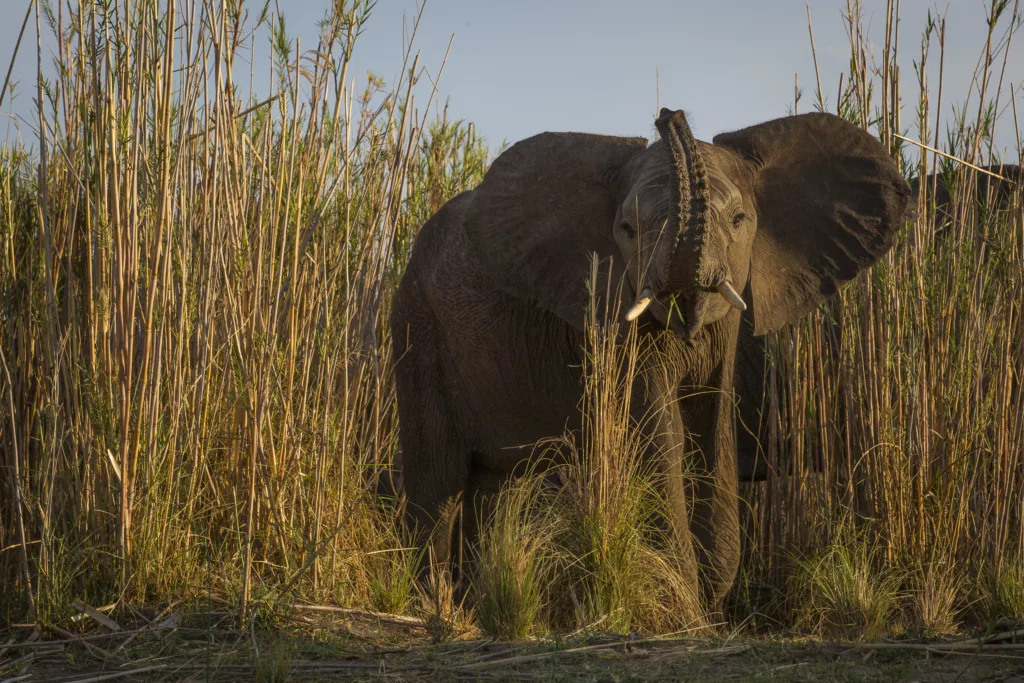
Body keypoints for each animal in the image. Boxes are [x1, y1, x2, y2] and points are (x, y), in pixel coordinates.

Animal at [391, 109, 913, 610]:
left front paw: (710, 593)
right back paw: (434, 606)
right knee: (439, 484)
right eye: (627, 230)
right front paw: (686, 606)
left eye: (740, 219)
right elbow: (663, 434)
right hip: (419, 328)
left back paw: (477, 607)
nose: (669, 114)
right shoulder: (608, 321)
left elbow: (713, 431)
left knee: (498, 488)